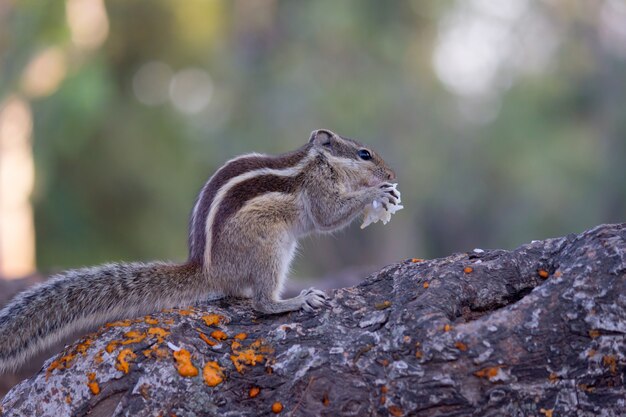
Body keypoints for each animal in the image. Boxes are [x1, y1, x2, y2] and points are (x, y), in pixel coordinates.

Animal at [0, 128, 398, 372]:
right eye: (364, 154)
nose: (392, 174)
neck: (320, 163)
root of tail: (207, 270)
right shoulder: (319, 191)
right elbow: (329, 216)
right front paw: (377, 194)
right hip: (271, 247)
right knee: (261, 303)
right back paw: (295, 300)